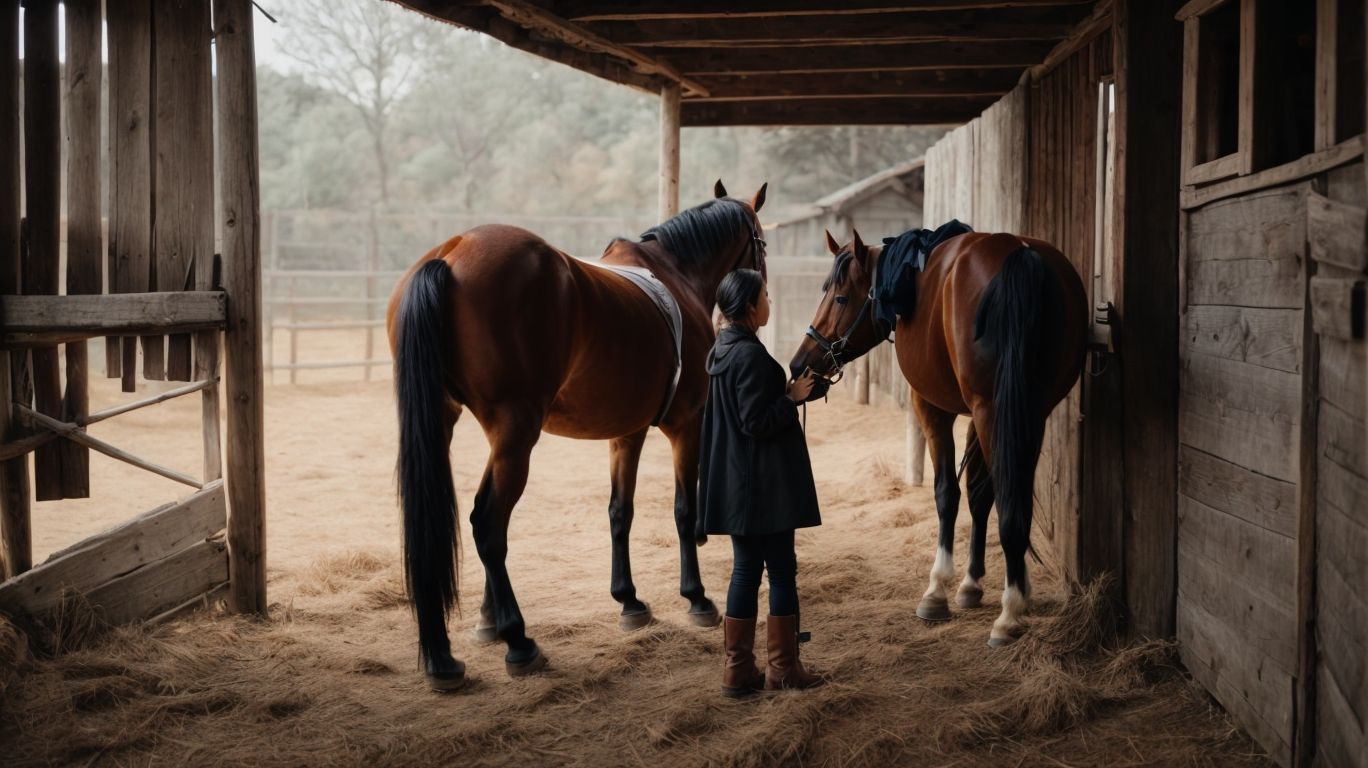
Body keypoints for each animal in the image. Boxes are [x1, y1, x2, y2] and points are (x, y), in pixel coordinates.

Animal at [387, 181, 769, 690]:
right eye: (761, 242)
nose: (762, 297)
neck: (678, 275)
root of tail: (449, 255)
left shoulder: (627, 433)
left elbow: (619, 511)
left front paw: (629, 601)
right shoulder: (685, 424)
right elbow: (683, 510)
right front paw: (696, 598)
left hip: (454, 424)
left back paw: (448, 655)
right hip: (516, 431)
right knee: (488, 522)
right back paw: (518, 641)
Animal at [789, 228, 1087, 646]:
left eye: (841, 297)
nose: (799, 364)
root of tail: (1020, 253)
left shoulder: (934, 407)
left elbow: (948, 493)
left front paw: (938, 590)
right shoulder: (989, 414)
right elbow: (980, 493)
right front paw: (972, 584)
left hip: (991, 410)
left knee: (1006, 502)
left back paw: (1008, 616)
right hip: (1024, 411)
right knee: (1013, 497)